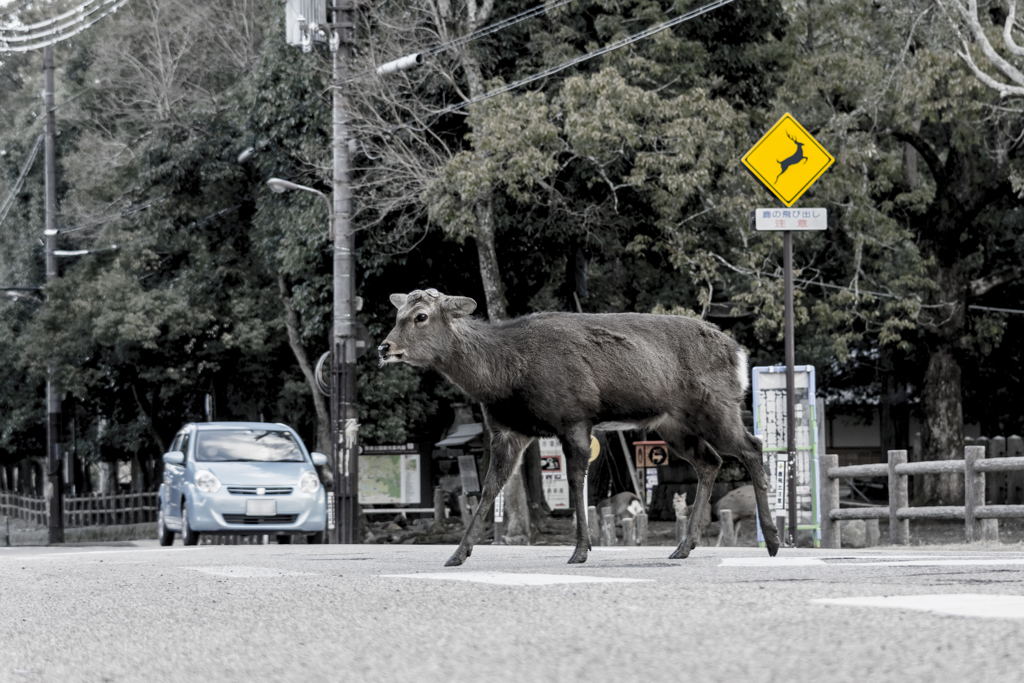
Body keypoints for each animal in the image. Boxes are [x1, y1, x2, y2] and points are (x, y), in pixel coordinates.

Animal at [380, 288, 778, 565]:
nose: (384, 348)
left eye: (420, 316)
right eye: (397, 313)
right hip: (674, 424)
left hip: (717, 406)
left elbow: (575, 483)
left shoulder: (574, 416)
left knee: (753, 446)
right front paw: (457, 554)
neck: (505, 375)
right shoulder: (508, 430)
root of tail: (740, 354)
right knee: (711, 461)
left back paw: (773, 541)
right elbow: (490, 489)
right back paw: (683, 546)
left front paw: (580, 550)